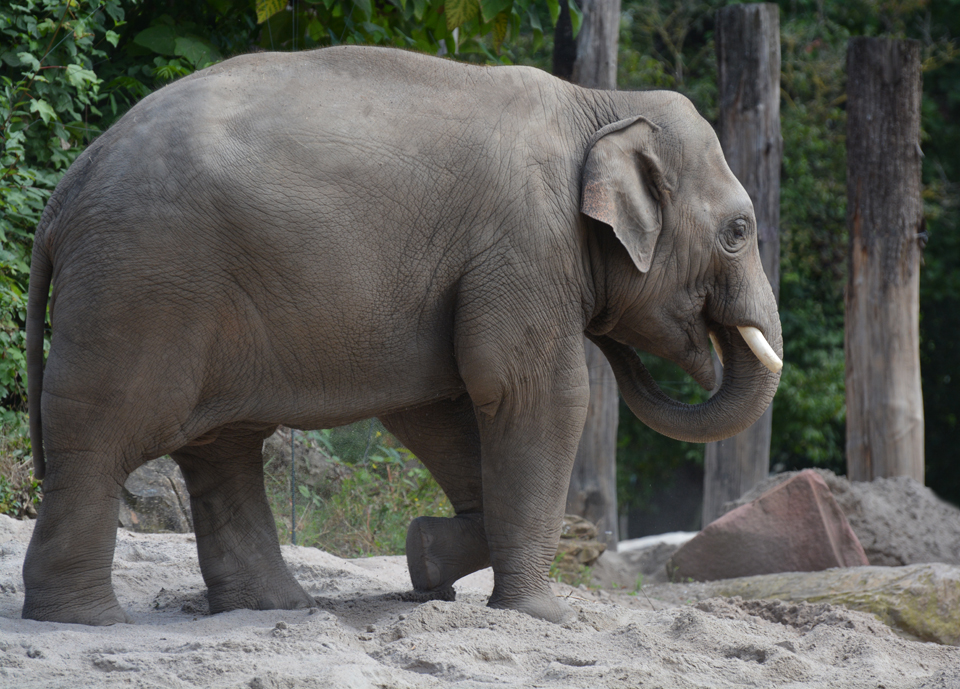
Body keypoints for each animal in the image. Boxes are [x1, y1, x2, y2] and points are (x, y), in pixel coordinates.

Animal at [22, 43, 780, 624]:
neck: (597, 104)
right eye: (740, 230)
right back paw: (85, 619)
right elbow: (533, 392)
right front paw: (544, 615)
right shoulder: (527, 245)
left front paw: (425, 561)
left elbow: (435, 408)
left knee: (223, 450)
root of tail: (66, 189)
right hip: (142, 287)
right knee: (104, 438)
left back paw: (276, 608)